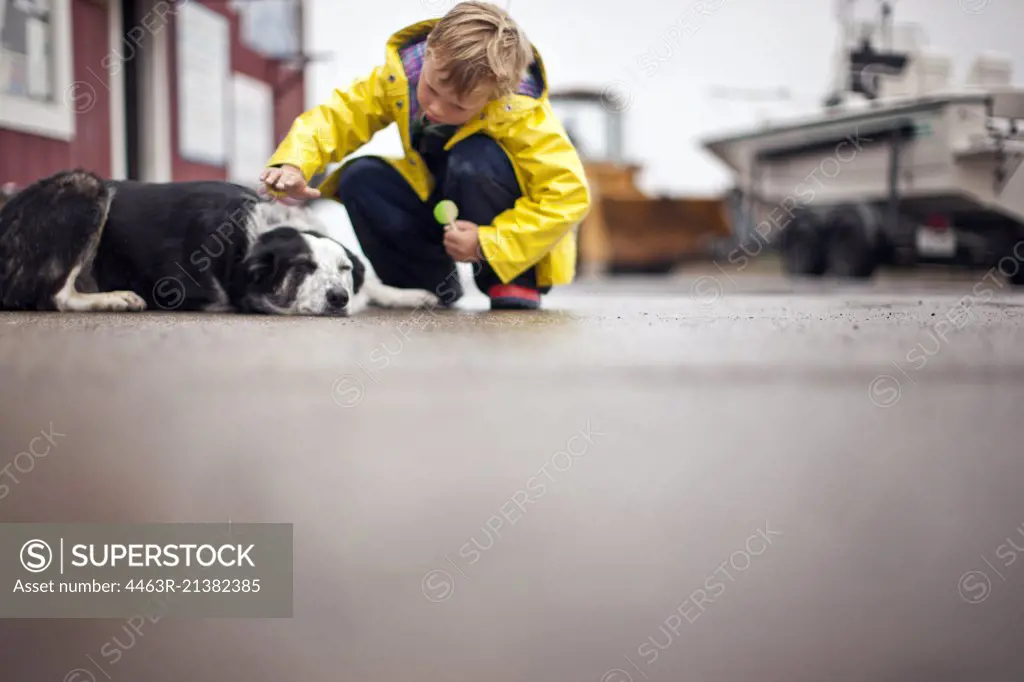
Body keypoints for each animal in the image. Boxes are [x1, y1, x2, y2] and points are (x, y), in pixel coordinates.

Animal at [0, 166, 436, 315]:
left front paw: (410, 294)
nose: (338, 298)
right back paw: (113, 299)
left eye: (344, 269)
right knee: (55, 295)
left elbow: (374, 283)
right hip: (86, 186)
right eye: (301, 269)